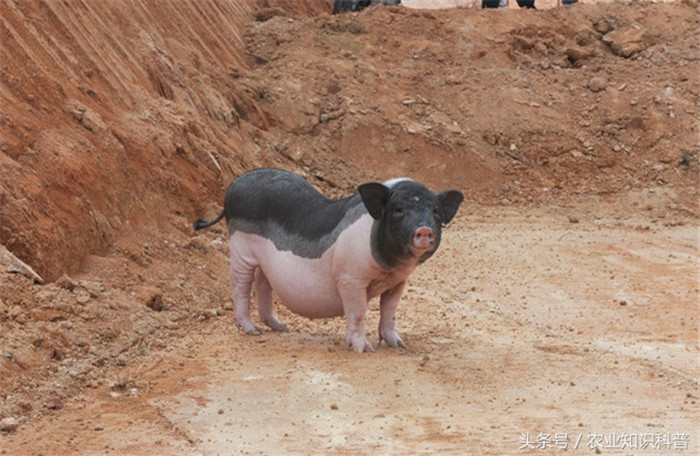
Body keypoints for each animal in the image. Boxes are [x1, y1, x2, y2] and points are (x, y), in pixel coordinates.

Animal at [194, 168, 462, 352]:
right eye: (398, 209)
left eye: (435, 211)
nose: (424, 229)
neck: (388, 269)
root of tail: (234, 185)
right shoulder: (349, 278)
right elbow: (358, 312)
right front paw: (364, 348)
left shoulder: (398, 282)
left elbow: (390, 311)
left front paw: (398, 344)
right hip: (241, 248)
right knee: (240, 285)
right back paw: (253, 331)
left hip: (264, 260)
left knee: (263, 282)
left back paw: (280, 327)